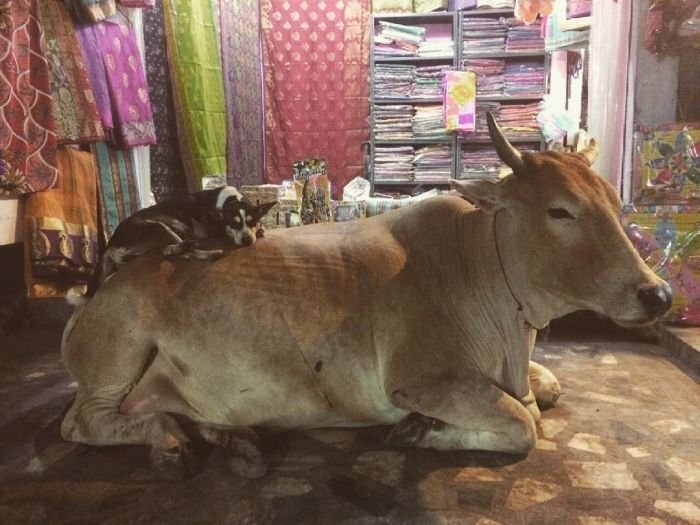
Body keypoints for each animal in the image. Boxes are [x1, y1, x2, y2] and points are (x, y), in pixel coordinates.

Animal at [60, 113, 672, 479]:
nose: (658, 293)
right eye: (559, 210)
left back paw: (229, 438)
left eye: (613, 201)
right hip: (118, 355)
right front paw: (419, 431)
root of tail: (97, 292)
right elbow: (524, 424)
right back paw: (170, 443)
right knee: (84, 423)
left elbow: (547, 390)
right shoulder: (422, 380)